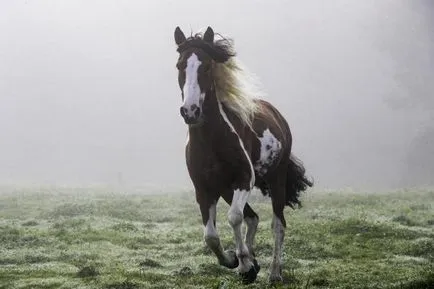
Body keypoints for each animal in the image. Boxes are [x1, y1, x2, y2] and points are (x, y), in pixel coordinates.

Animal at [172, 25, 312, 282]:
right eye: (179, 65)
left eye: (207, 66)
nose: (191, 111)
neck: (211, 140)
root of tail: (276, 115)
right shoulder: (204, 189)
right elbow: (210, 236)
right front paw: (236, 261)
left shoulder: (244, 180)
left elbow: (234, 217)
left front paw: (245, 263)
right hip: (226, 189)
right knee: (253, 217)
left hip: (276, 180)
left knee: (278, 224)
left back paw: (274, 273)